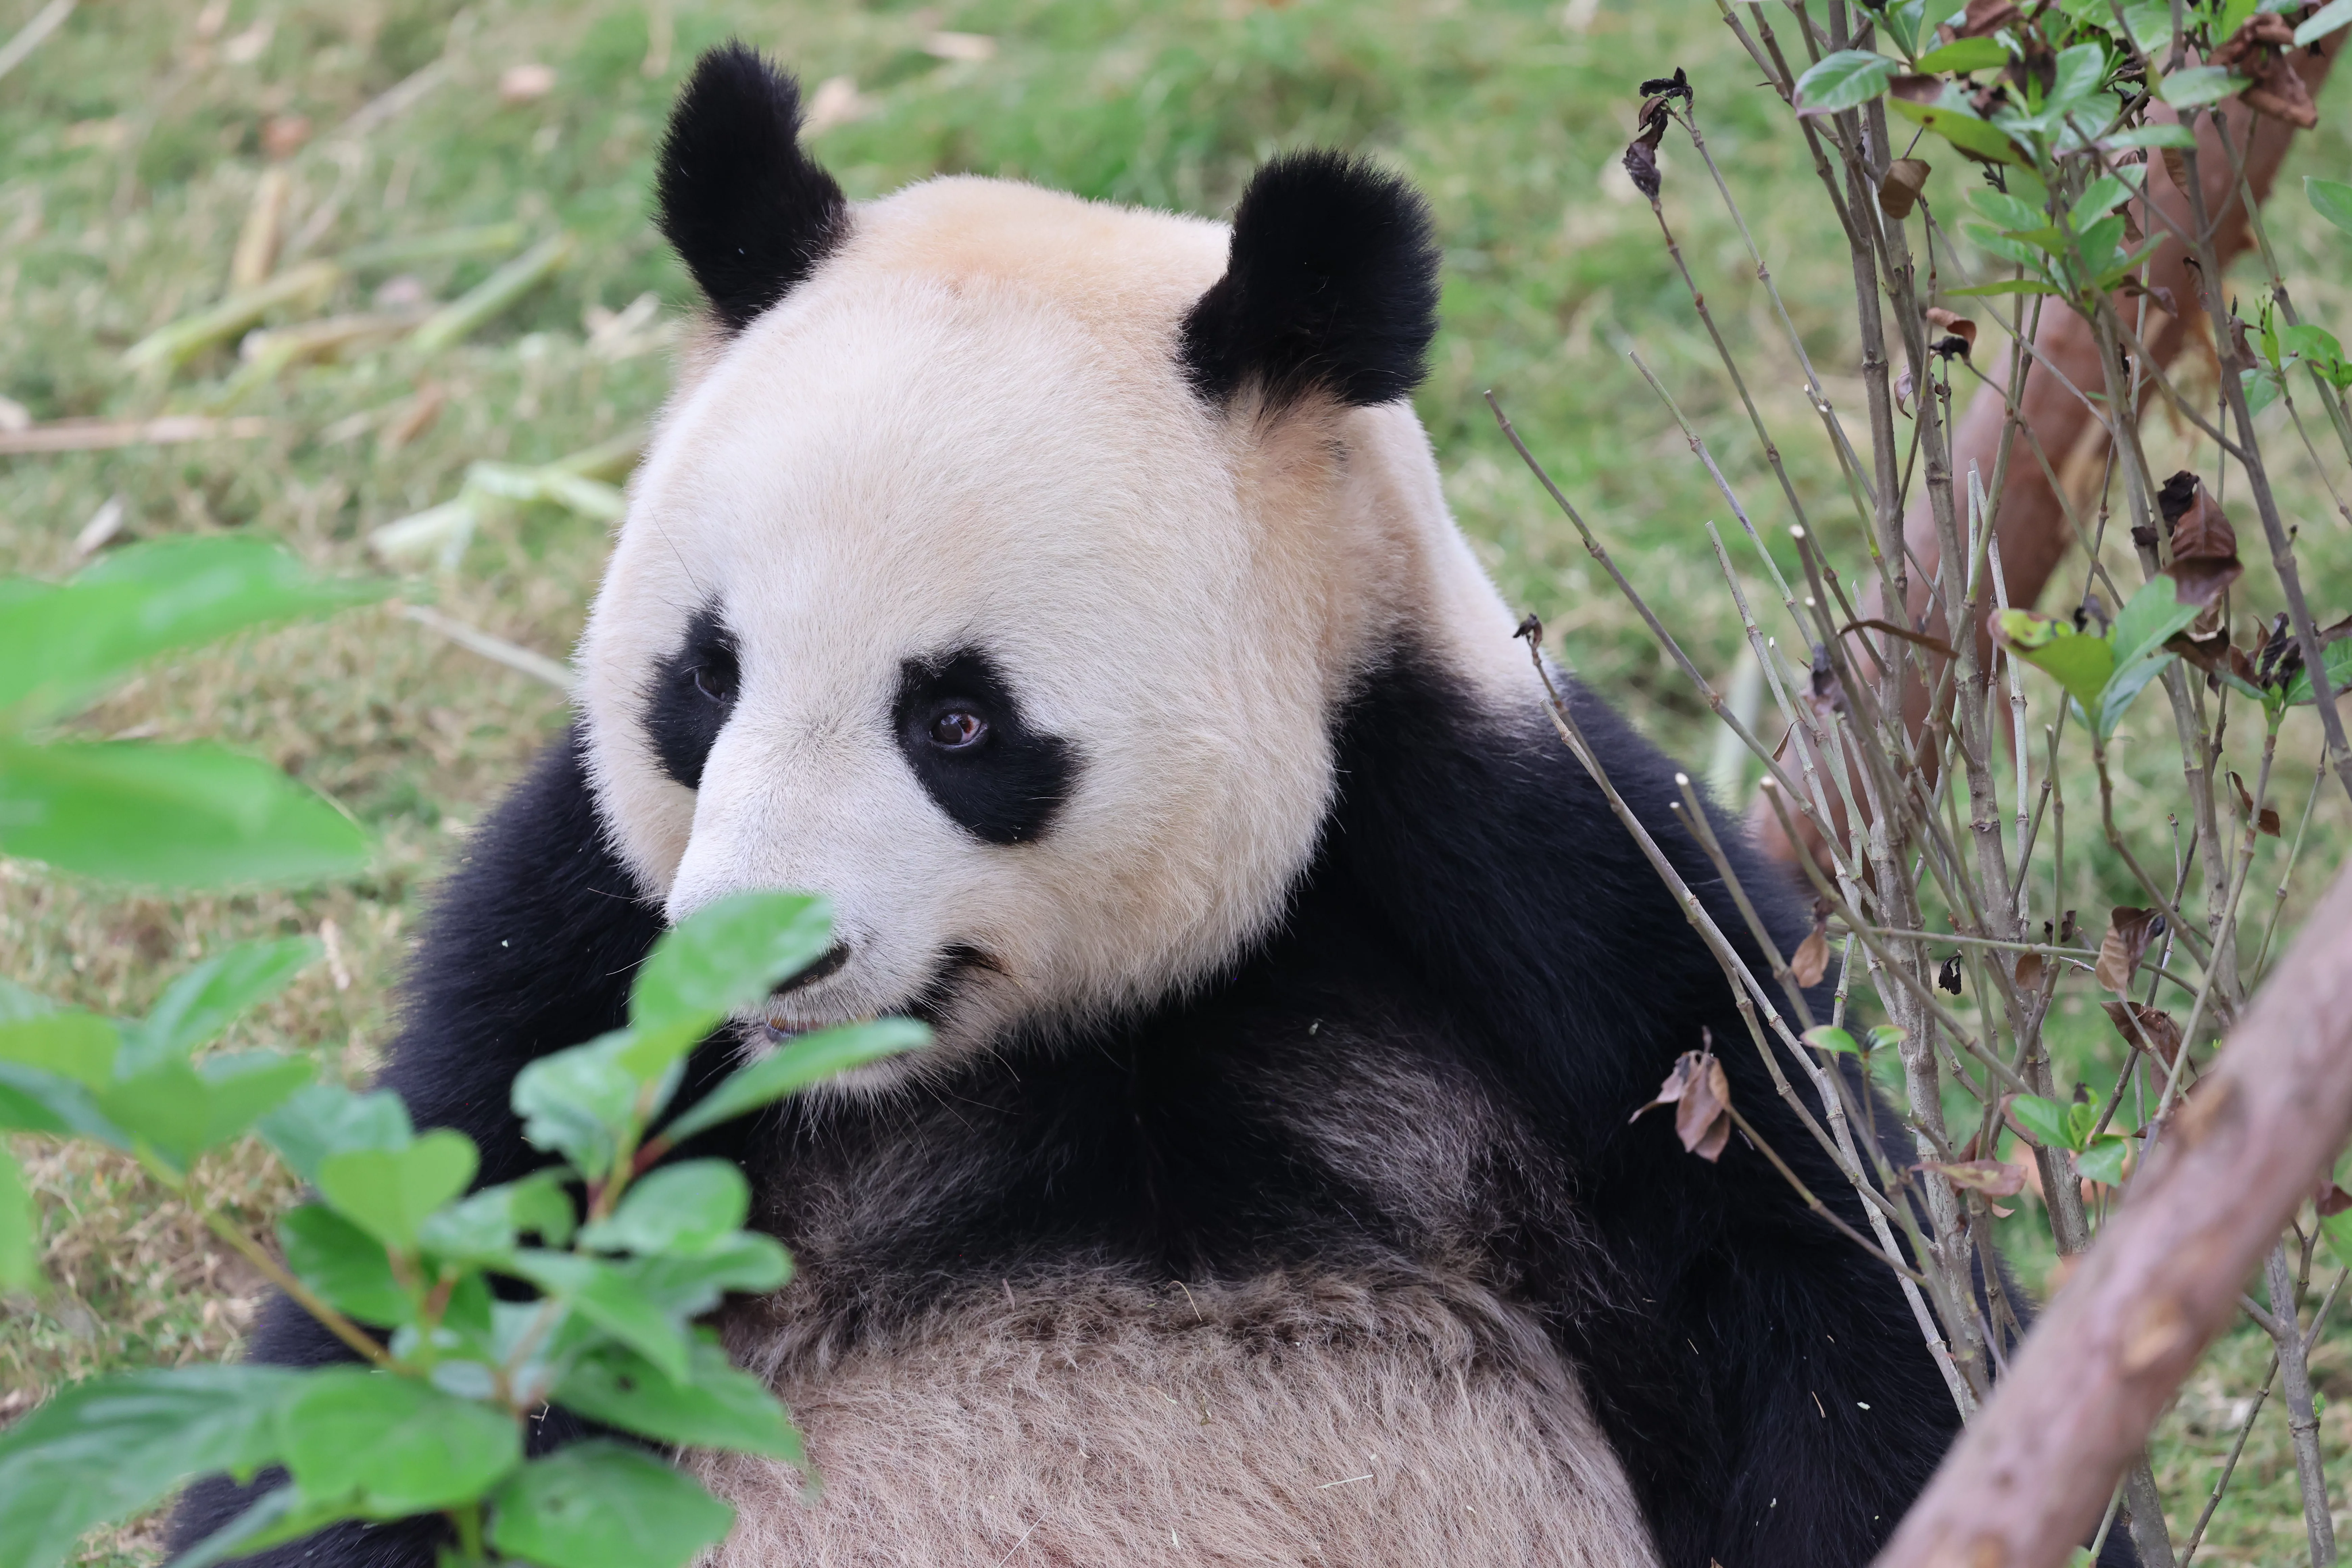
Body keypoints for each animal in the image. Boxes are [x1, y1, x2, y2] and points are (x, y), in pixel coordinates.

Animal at [176, 42, 2060, 1568]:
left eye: (957, 719)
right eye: (705, 678)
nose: (750, 967)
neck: (1061, 1040)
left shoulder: (1529, 885)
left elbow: (1826, 1273)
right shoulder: (569, 969)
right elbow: (398, 1333)